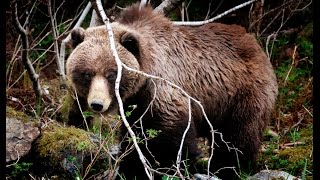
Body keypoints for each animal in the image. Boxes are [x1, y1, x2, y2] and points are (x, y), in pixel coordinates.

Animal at [65, 2, 278, 180]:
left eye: (112, 74)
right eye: (87, 73)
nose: (97, 104)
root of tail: (254, 42)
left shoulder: (164, 89)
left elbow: (170, 137)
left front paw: (167, 167)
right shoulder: (136, 103)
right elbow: (135, 134)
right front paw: (131, 166)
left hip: (242, 92)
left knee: (238, 135)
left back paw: (230, 167)